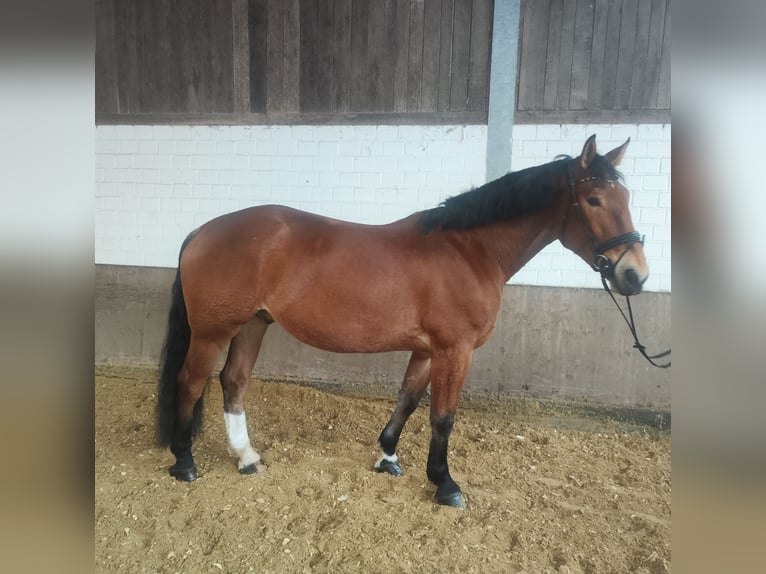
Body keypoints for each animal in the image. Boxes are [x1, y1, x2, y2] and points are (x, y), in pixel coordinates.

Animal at [156, 136, 648, 512]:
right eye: (593, 200)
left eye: (626, 198)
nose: (634, 275)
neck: (469, 250)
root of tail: (202, 231)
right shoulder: (454, 349)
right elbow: (443, 417)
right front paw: (445, 485)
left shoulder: (429, 349)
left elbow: (408, 400)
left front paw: (387, 457)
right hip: (213, 331)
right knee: (190, 382)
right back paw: (184, 463)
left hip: (253, 324)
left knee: (234, 381)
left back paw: (246, 457)